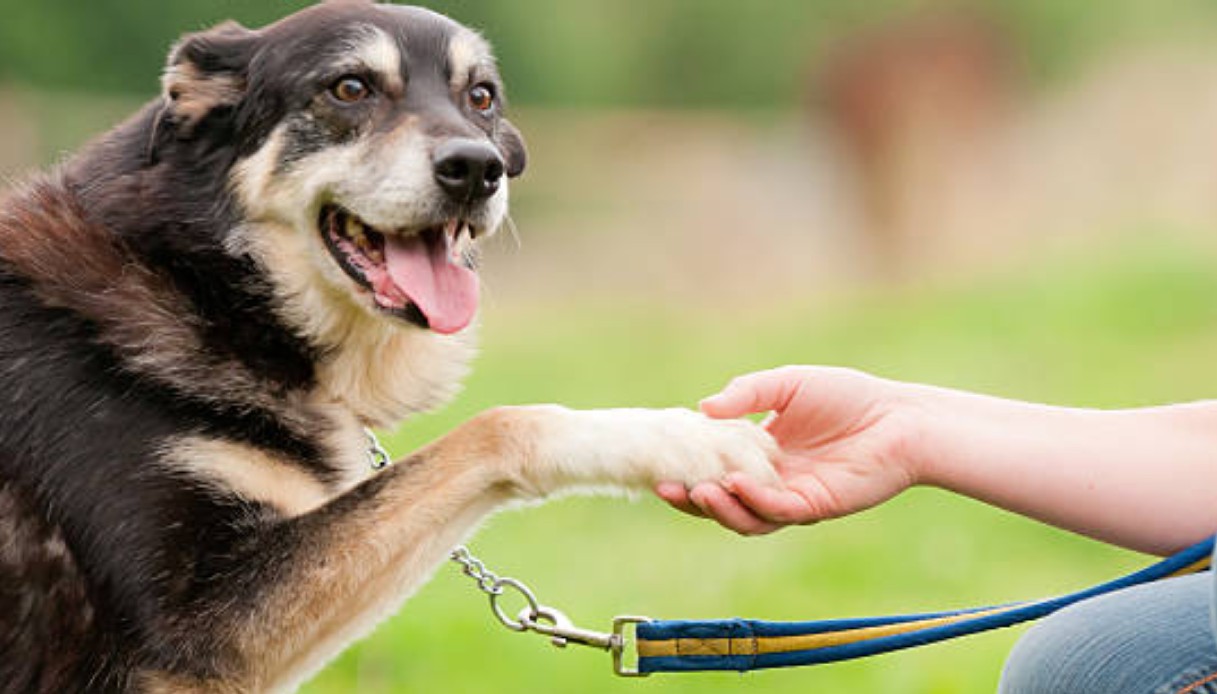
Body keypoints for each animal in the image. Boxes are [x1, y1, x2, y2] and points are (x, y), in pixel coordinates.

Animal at [0, 2, 778, 686]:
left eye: (481, 97)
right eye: (350, 87)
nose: (478, 168)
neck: (202, 282)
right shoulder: (200, 626)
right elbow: (496, 426)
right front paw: (689, 439)